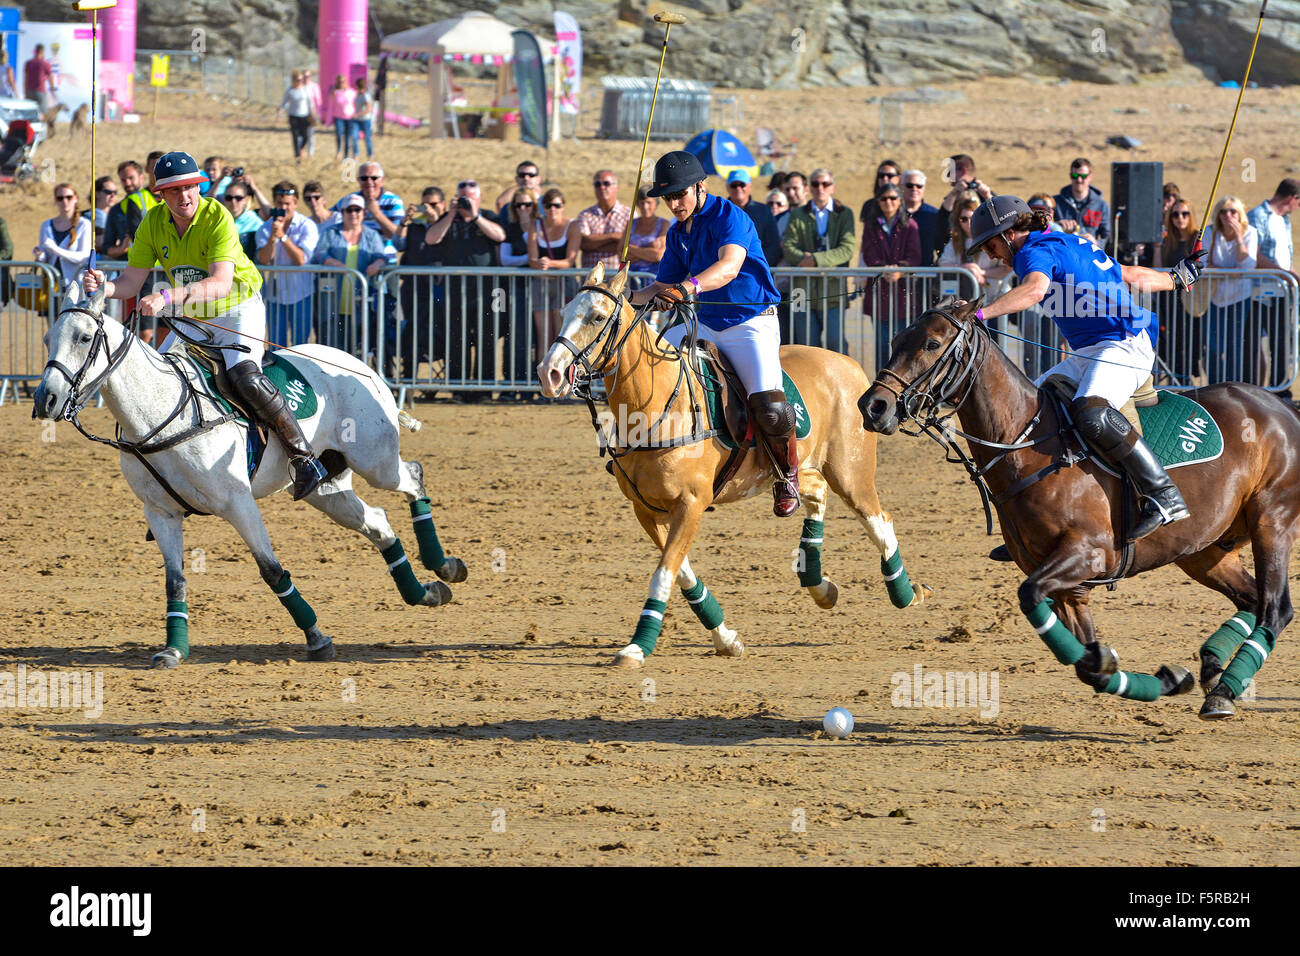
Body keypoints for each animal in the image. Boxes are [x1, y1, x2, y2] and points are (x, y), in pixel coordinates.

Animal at [30, 286, 470, 665]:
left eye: (85, 337)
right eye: (48, 337)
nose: (45, 400)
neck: (159, 413)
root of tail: (362, 367)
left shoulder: (238, 504)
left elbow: (272, 570)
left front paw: (317, 638)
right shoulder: (161, 513)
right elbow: (175, 581)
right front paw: (173, 650)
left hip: (375, 461)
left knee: (413, 476)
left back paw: (444, 565)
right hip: (325, 487)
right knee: (377, 522)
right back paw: (426, 591)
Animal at [538, 261, 925, 665]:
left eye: (597, 317)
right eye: (564, 313)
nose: (548, 374)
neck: (657, 405)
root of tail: (849, 362)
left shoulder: (691, 504)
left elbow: (664, 574)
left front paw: (636, 646)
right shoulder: (646, 509)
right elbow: (682, 573)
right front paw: (726, 638)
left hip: (851, 471)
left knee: (879, 521)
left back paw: (905, 592)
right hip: (800, 468)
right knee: (815, 493)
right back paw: (820, 585)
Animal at [857, 297, 1294, 717]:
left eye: (931, 344)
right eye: (895, 341)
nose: (873, 406)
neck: (1026, 446)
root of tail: (1283, 407)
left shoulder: (1087, 554)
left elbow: (1032, 597)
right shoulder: (1071, 587)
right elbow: (1090, 665)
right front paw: (1165, 679)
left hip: (1271, 521)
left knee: (1276, 610)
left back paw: (1222, 691)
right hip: (1203, 549)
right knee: (1251, 600)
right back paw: (1213, 667)